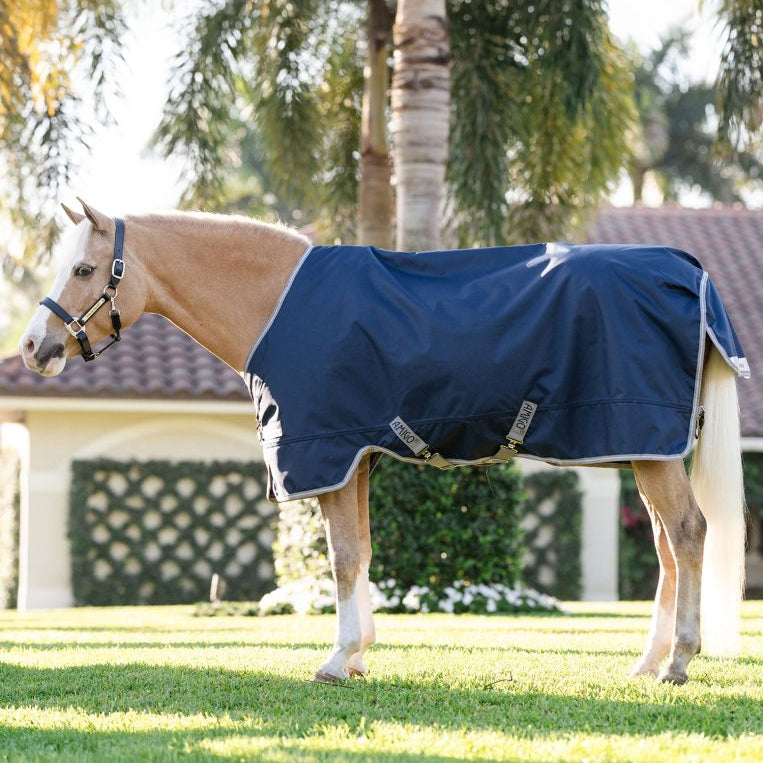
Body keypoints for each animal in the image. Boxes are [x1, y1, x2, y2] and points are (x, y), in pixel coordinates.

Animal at [19, 199, 747, 686]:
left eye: (83, 269)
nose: (32, 347)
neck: (277, 303)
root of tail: (688, 271)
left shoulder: (328, 455)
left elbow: (342, 558)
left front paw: (337, 658)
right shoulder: (358, 459)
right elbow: (362, 552)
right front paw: (361, 652)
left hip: (648, 449)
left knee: (687, 533)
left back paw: (679, 661)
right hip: (643, 449)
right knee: (665, 545)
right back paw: (647, 661)